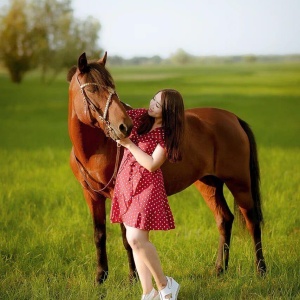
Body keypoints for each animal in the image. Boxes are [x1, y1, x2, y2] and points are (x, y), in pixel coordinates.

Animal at [67, 53, 266, 284]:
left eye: (113, 87)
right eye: (92, 89)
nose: (125, 126)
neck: (96, 150)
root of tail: (233, 118)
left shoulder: (121, 195)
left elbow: (126, 237)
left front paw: (133, 277)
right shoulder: (91, 195)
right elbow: (99, 235)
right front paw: (100, 277)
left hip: (240, 182)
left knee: (252, 222)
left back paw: (261, 270)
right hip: (209, 183)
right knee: (224, 219)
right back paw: (219, 269)